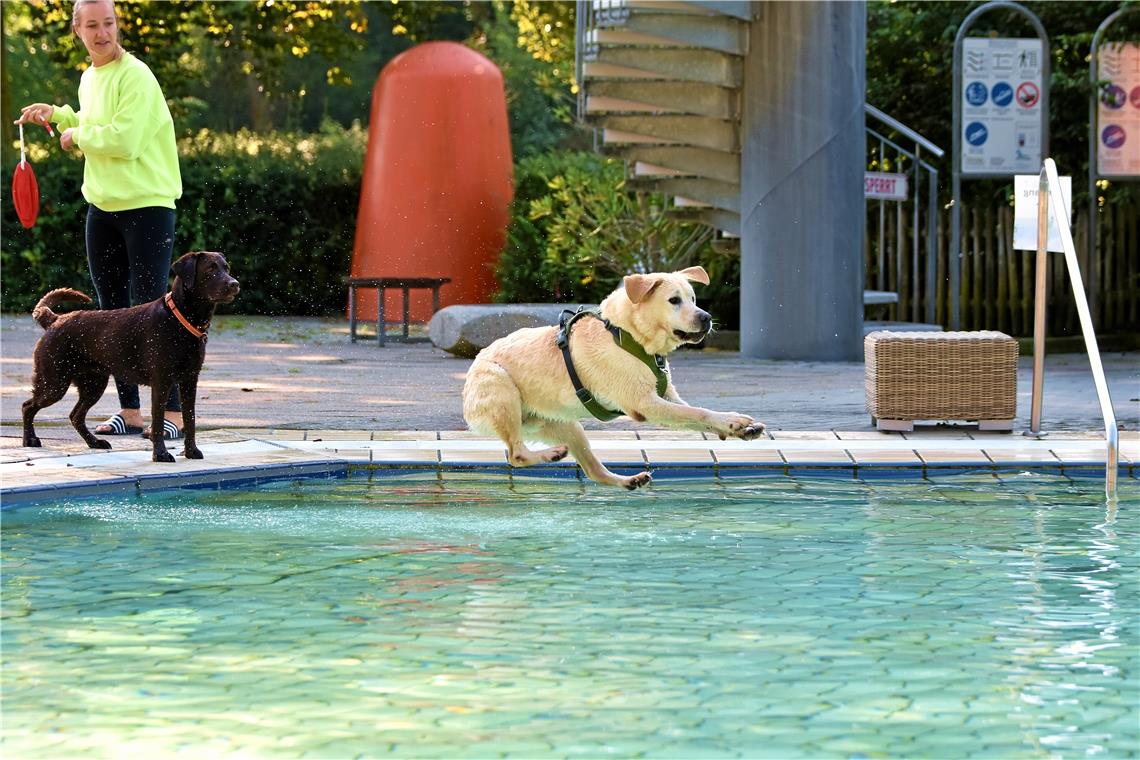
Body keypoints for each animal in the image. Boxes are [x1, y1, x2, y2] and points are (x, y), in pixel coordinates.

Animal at [21, 252, 238, 460]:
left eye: (226, 268)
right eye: (210, 269)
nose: (234, 284)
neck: (180, 319)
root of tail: (54, 319)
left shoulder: (189, 381)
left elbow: (190, 420)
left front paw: (191, 452)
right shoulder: (162, 382)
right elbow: (157, 423)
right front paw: (160, 455)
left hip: (93, 385)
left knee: (75, 415)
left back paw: (94, 442)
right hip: (54, 384)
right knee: (27, 406)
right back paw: (29, 440)